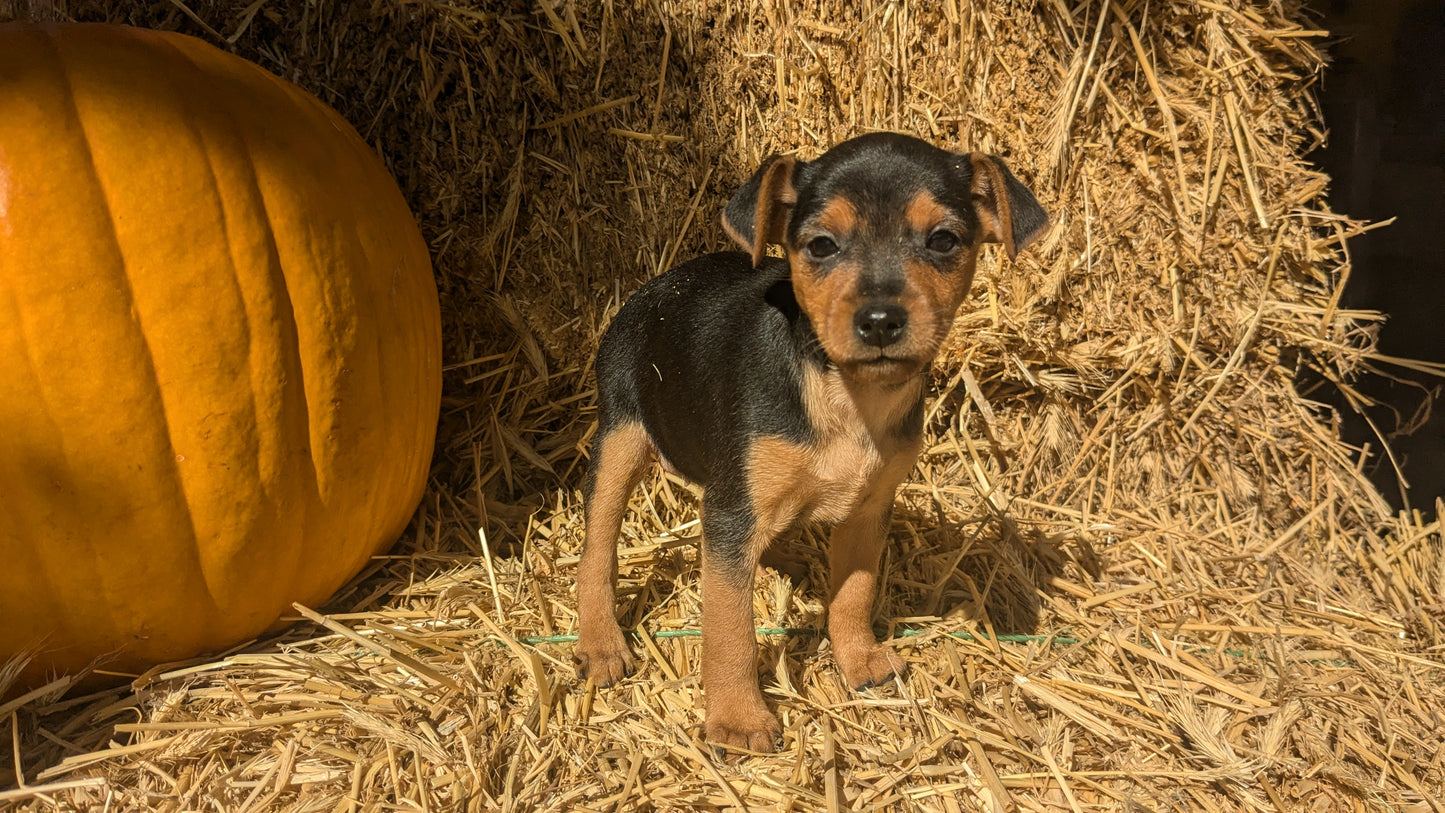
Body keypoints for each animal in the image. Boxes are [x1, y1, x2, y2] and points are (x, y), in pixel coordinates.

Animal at [575, 132, 1051, 756]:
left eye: (943, 240)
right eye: (822, 246)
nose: (881, 321)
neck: (846, 395)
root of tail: (649, 287)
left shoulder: (869, 507)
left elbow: (854, 593)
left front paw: (860, 660)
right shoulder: (730, 514)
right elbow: (729, 626)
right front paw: (737, 719)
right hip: (622, 438)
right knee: (597, 548)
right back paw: (600, 642)